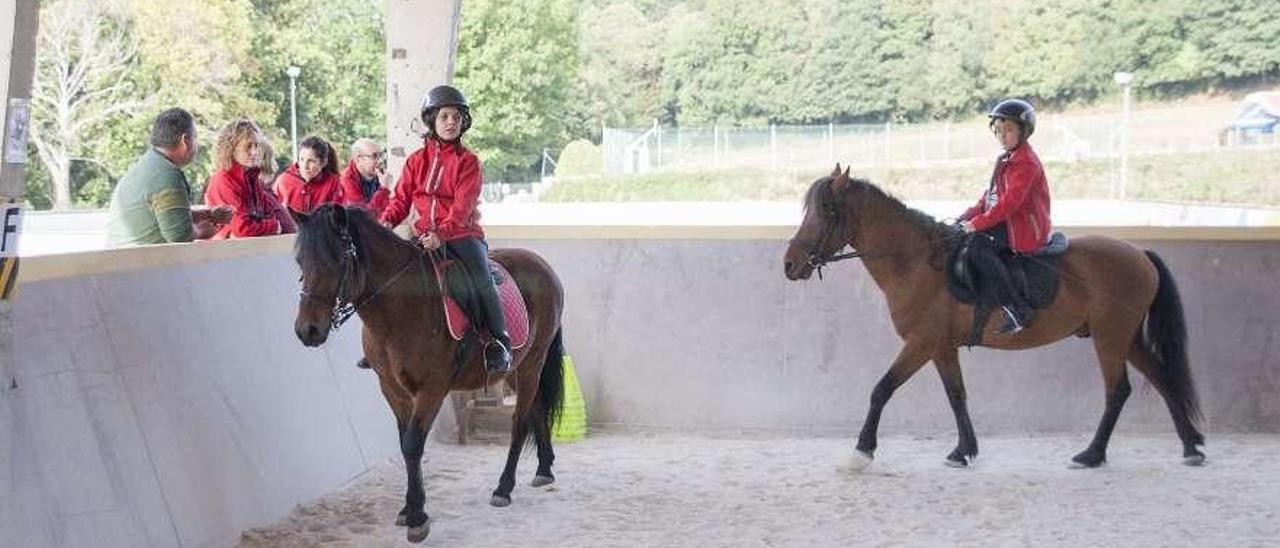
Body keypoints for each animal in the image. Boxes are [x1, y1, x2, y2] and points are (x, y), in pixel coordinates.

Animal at [778, 167, 1208, 471]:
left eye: (827, 210)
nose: (790, 265)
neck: (917, 262)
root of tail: (1140, 254)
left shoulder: (920, 343)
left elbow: (881, 389)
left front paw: (861, 452)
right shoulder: (941, 347)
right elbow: (957, 395)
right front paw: (963, 451)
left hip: (1110, 338)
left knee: (1118, 391)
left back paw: (1091, 454)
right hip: (1125, 338)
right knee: (1163, 378)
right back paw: (1190, 446)